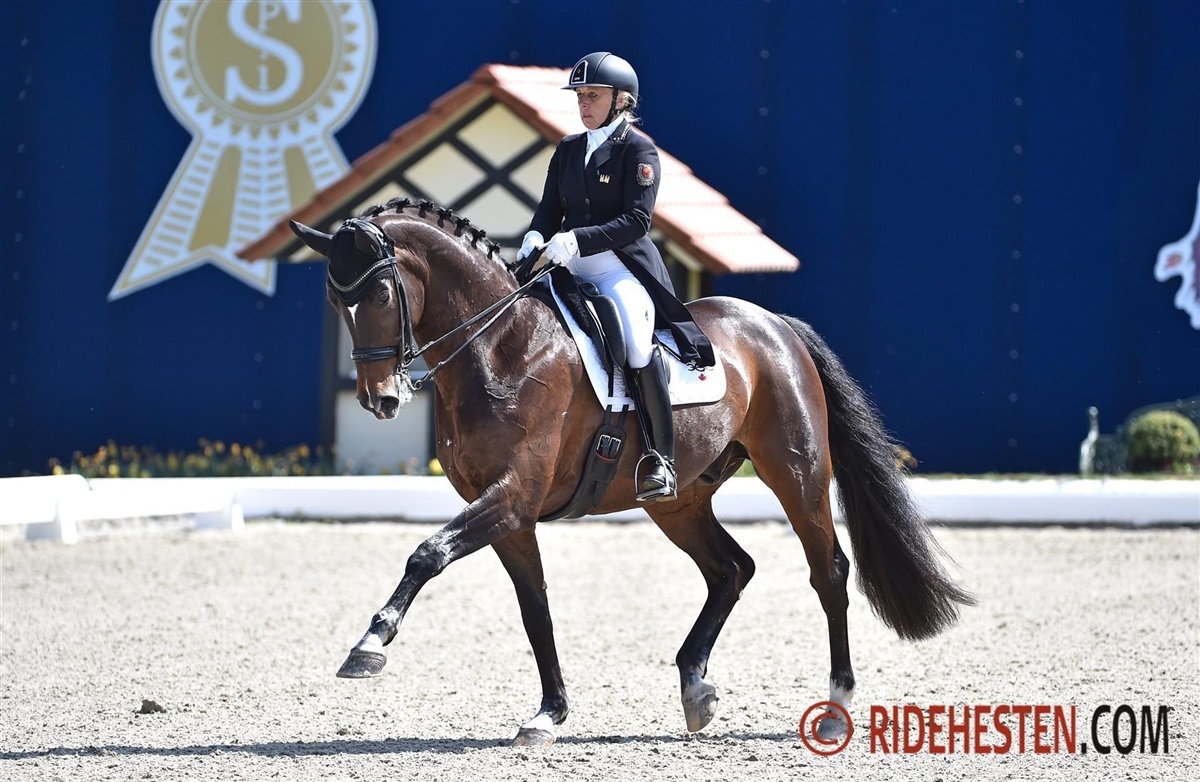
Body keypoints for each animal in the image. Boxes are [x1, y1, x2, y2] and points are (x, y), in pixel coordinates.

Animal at [289, 198, 973, 746]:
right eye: (334, 299)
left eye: (380, 294)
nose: (381, 399)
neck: (499, 347)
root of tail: (775, 325)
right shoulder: (511, 516)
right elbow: (535, 609)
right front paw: (549, 715)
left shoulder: (512, 497)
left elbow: (427, 553)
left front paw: (369, 644)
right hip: (677, 501)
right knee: (731, 569)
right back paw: (695, 688)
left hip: (795, 472)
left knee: (827, 571)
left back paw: (834, 707)